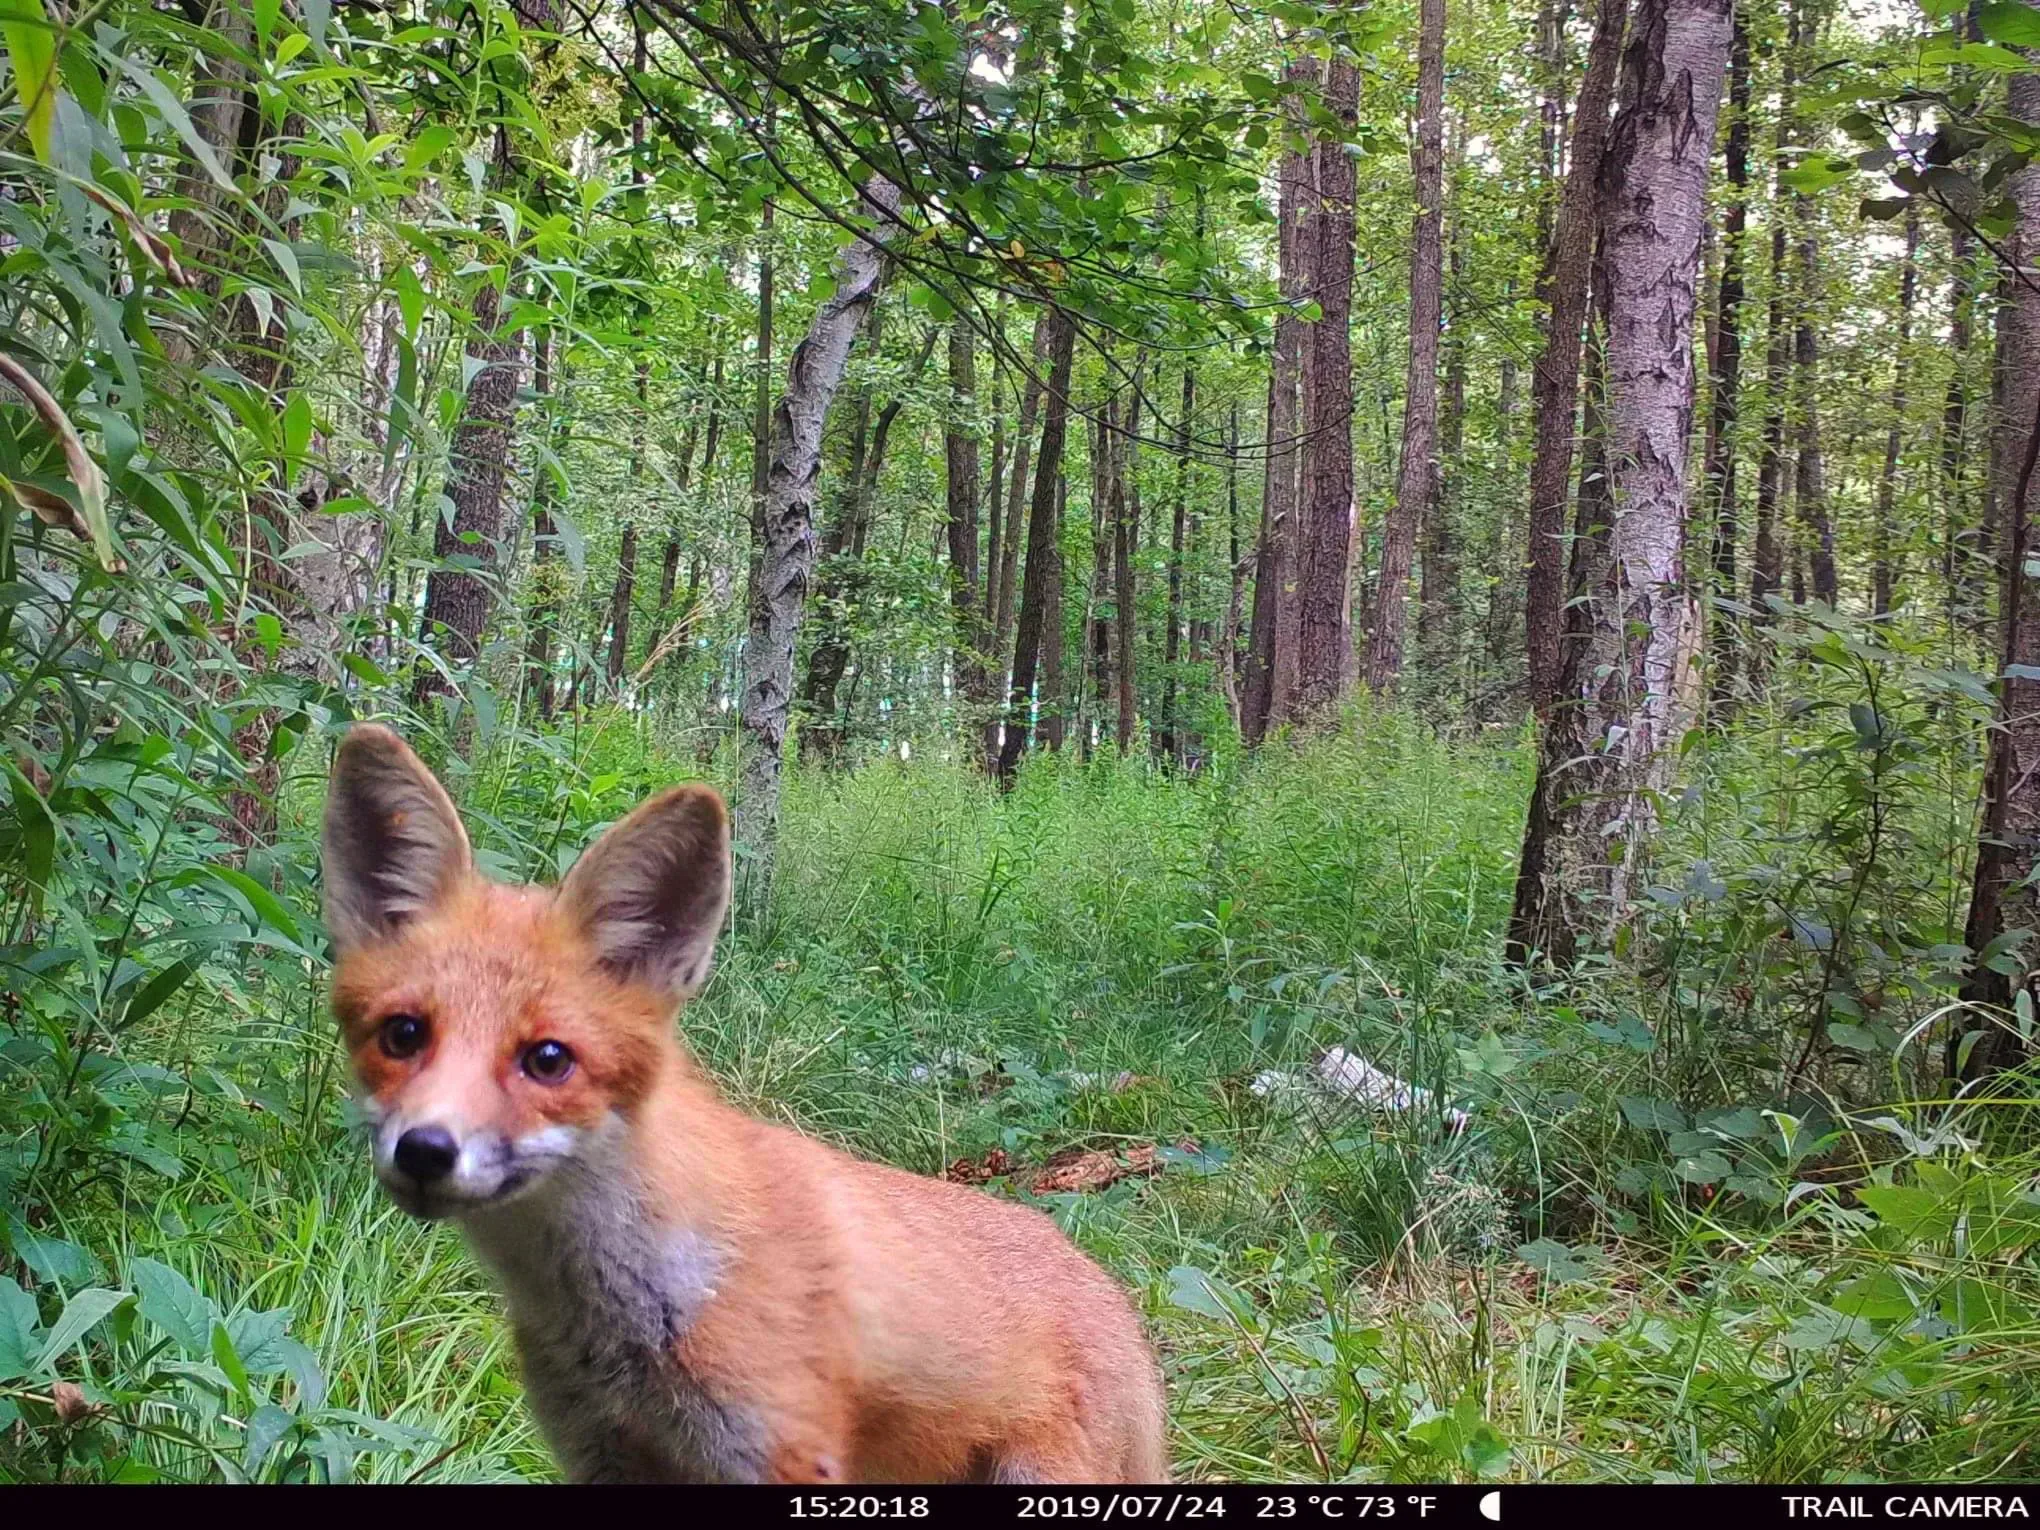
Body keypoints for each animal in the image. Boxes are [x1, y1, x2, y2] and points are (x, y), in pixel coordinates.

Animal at [320, 724, 1168, 1485]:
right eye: (403, 1034)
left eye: (548, 1060)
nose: (426, 1149)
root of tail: (1113, 1297)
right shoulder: (602, 1456)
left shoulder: (776, 1451)